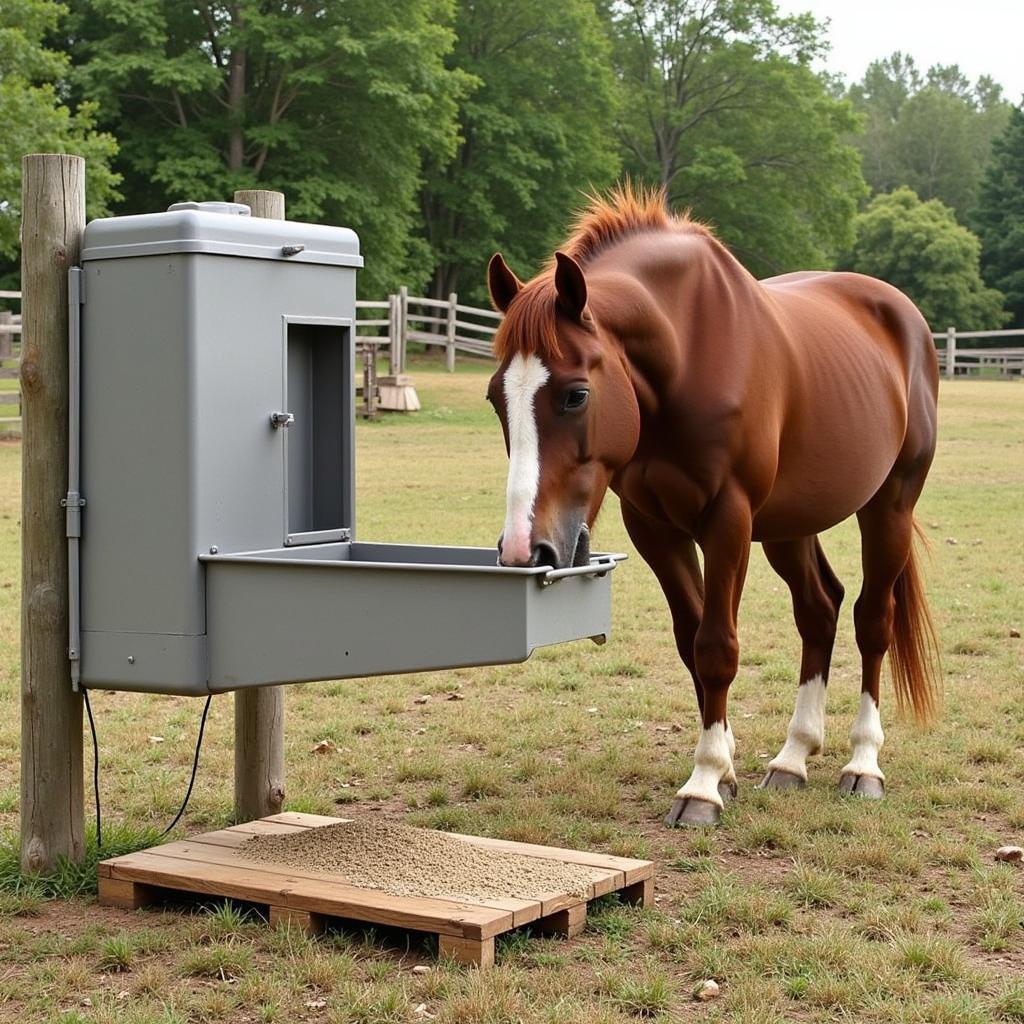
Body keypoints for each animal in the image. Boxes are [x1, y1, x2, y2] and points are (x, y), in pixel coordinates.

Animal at [483, 188, 937, 827]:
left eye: (576, 395)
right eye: (495, 398)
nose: (525, 549)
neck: (686, 357)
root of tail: (904, 318)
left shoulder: (728, 522)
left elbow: (717, 647)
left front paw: (702, 787)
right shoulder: (654, 528)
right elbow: (690, 643)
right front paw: (723, 770)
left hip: (888, 506)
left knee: (873, 621)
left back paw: (863, 764)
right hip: (790, 526)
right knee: (819, 611)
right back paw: (793, 758)